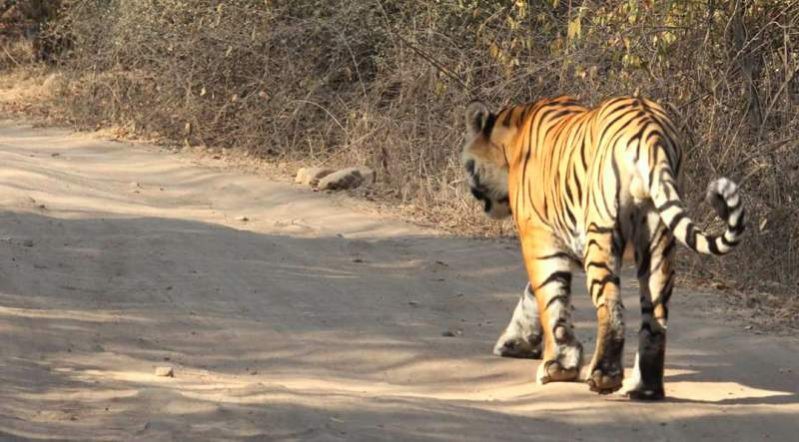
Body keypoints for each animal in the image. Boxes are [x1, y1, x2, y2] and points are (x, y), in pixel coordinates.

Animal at [461, 95, 745, 400]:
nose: (473, 191)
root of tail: (651, 131)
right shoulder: (567, 244)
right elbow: (532, 296)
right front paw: (517, 343)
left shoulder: (540, 239)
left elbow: (550, 301)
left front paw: (556, 366)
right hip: (658, 240)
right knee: (655, 317)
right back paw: (645, 388)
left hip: (601, 235)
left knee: (612, 306)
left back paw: (604, 376)